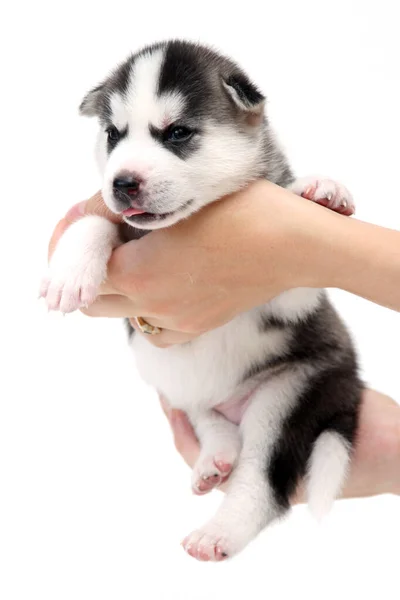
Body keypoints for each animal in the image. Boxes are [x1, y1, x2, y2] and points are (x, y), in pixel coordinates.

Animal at [39, 39, 360, 560]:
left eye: (177, 133)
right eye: (113, 135)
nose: (122, 183)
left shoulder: (292, 301)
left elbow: (296, 271)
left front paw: (321, 193)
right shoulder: (116, 222)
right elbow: (96, 221)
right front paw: (69, 273)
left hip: (289, 392)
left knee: (261, 480)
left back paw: (221, 530)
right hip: (177, 386)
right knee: (207, 415)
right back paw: (217, 454)